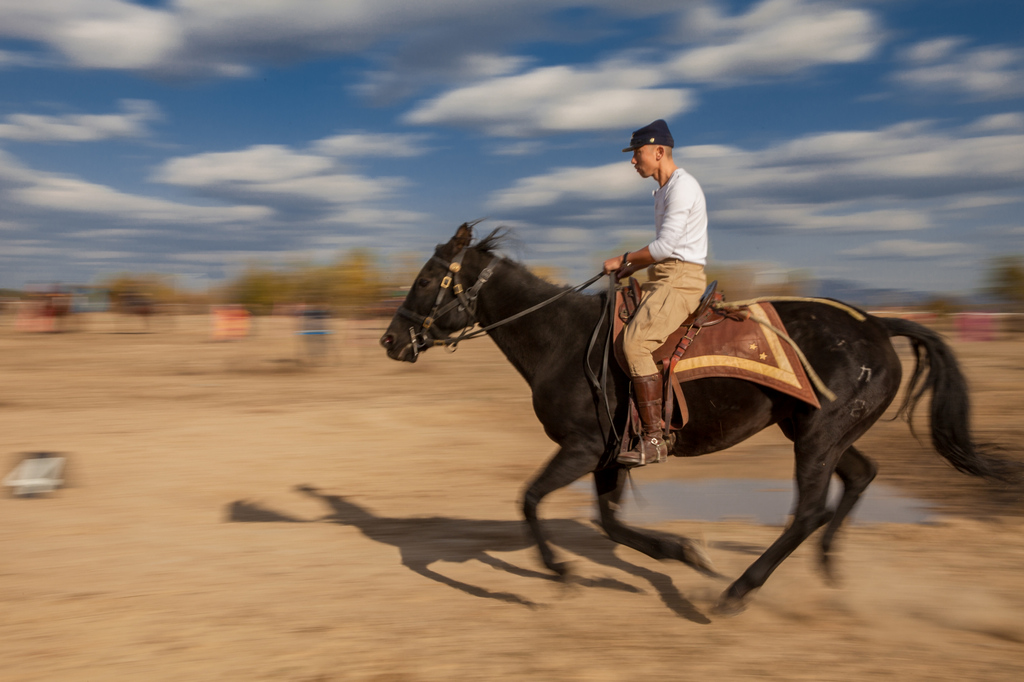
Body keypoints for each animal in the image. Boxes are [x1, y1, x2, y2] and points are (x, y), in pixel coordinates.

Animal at [380, 223, 1011, 610]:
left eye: (425, 278)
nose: (390, 340)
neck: (563, 339)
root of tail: (877, 324)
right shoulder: (611, 456)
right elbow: (610, 524)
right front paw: (683, 552)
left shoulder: (582, 449)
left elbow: (531, 500)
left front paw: (561, 572)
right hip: (818, 431)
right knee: (860, 476)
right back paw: (829, 573)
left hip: (817, 437)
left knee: (809, 511)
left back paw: (737, 592)